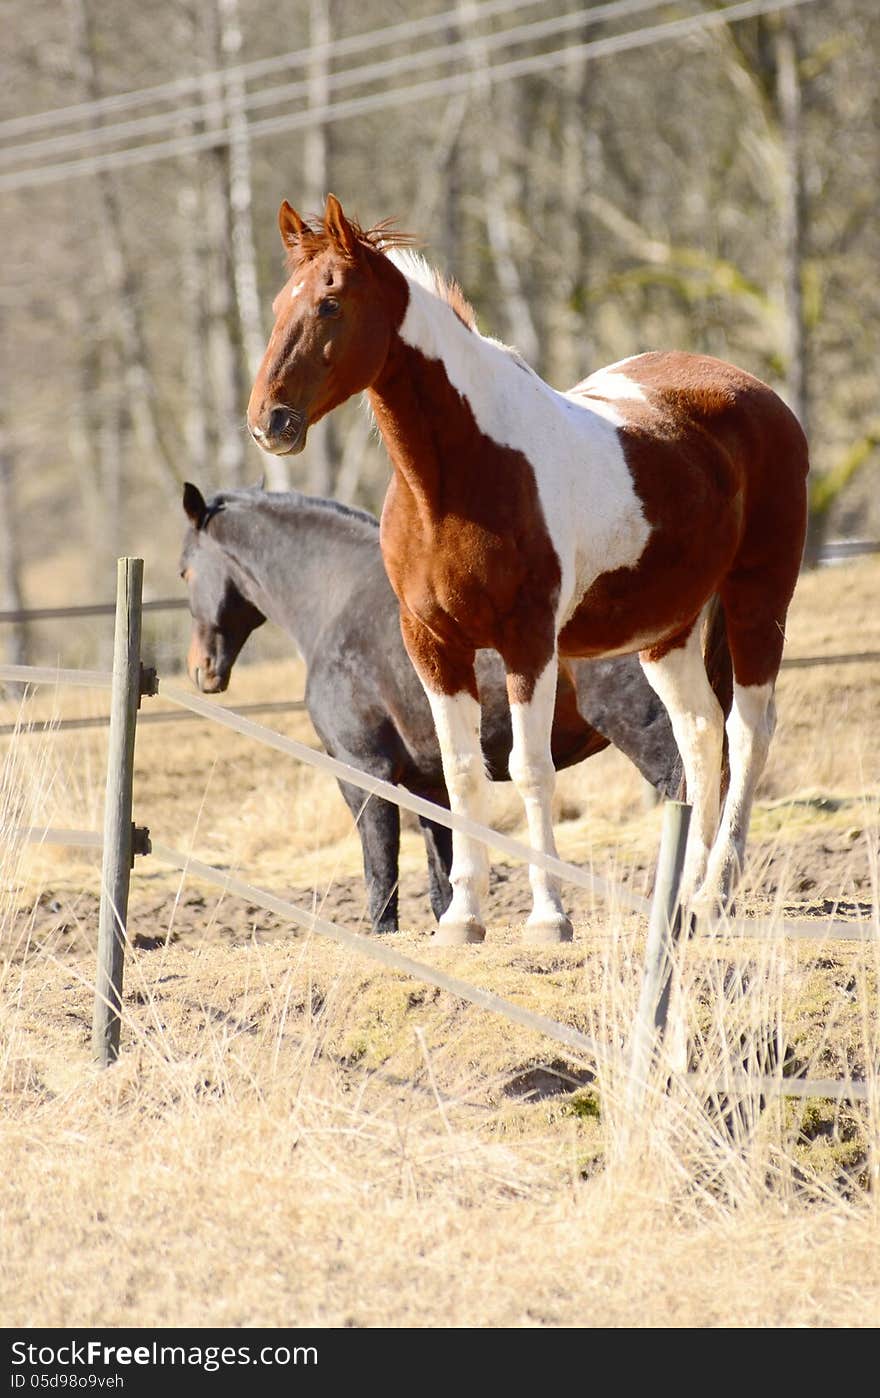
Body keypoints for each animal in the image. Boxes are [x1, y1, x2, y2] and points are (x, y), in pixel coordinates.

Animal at [178, 486, 679, 933]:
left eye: (185, 572)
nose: (201, 669)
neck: (337, 599)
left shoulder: (364, 774)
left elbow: (382, 878)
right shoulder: (430, 784)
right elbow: (443, 880)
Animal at [247, 197, 811, 945]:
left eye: (331, 303)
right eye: (280, 303)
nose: (269, 421)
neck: (454, 481)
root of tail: (759, 395)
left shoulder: (529, 642)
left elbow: (529, 770)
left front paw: (548, 917)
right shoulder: (434, 646)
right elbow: (461, 775)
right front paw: (462, 919)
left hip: (759, 598)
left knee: (747, 731)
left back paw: (716, 894)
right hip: (669, 631)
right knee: (699, 736)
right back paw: (682, 901)